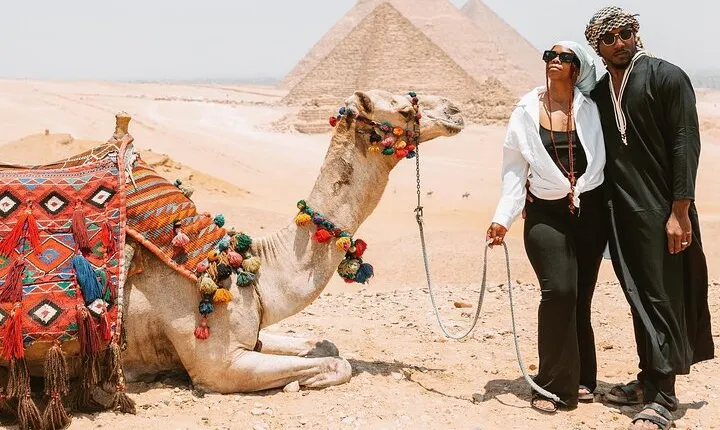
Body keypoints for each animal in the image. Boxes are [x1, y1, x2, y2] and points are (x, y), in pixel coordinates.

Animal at [20, 90, 464, 395]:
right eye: (403, 107)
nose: (456, 110)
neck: (244, 268)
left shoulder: (252, 336)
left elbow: (325, 345)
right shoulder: (219, 367)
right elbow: (338, 365)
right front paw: (305, 383)